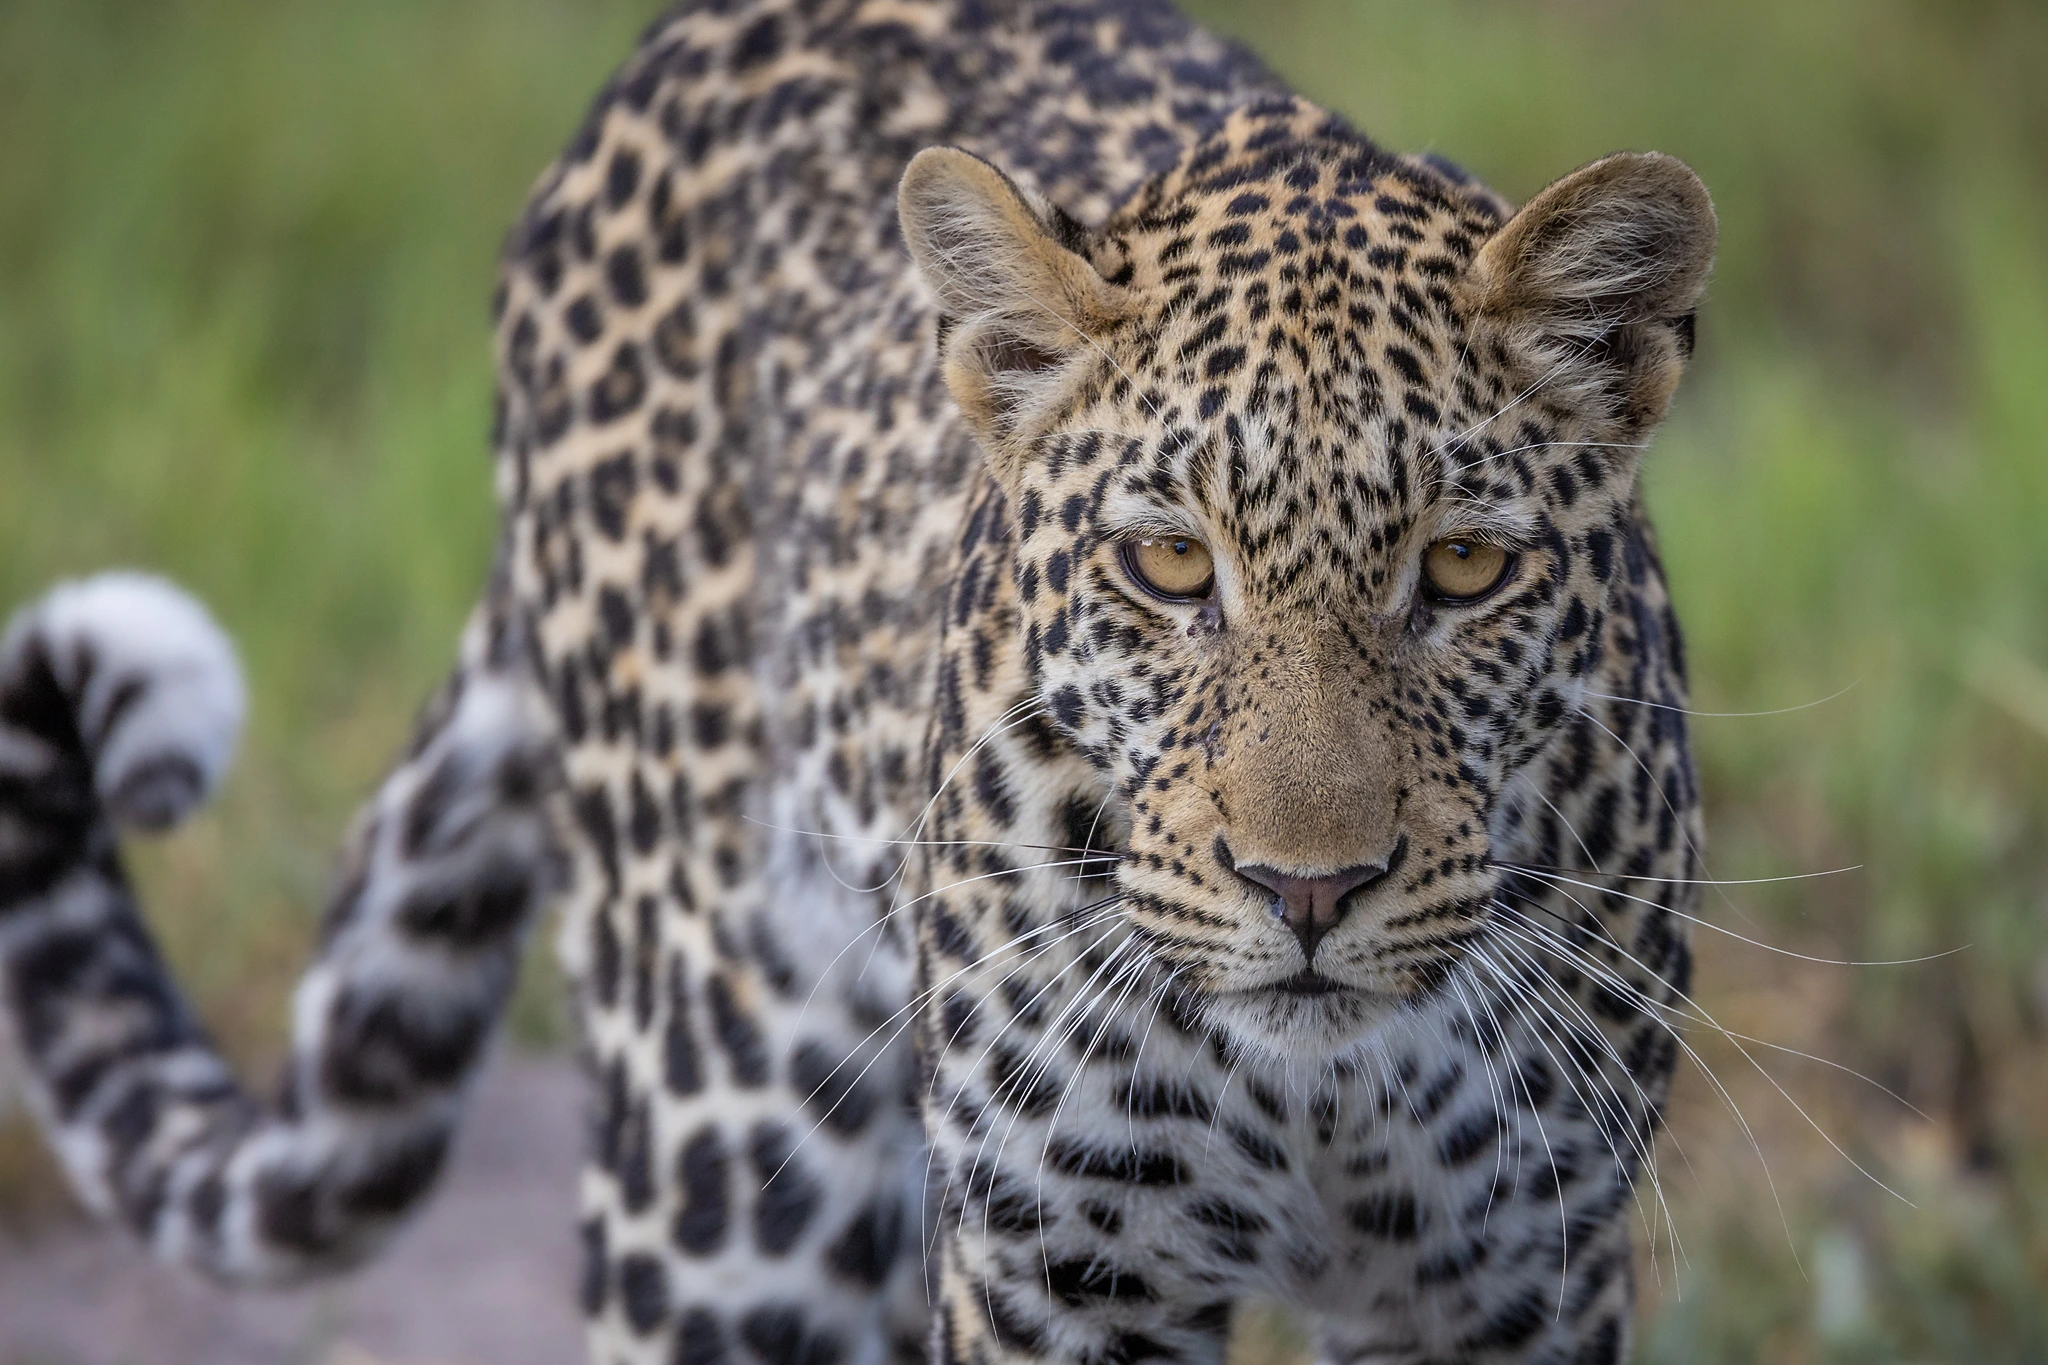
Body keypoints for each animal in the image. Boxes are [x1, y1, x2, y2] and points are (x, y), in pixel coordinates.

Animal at [4, 2, 1712, 1365]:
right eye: (1169, 565)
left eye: (1465, 569)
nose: (1308, 891)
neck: (1318, 1096)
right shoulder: (1056, 1264)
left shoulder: (1509, 1278)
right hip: (732, 1147)